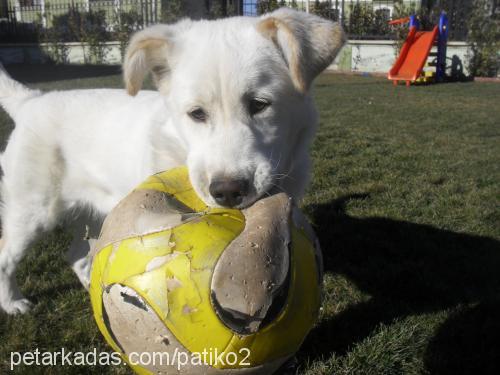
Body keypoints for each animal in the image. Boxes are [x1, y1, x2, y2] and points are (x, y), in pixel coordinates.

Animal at [0, 8, 344, 314]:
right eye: (196, 114)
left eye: (259, 104)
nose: (228, 192)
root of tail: (31, 101)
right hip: (33, 212)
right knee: (6, 257)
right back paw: (13, 304)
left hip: (98, 215)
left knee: (76, 256)